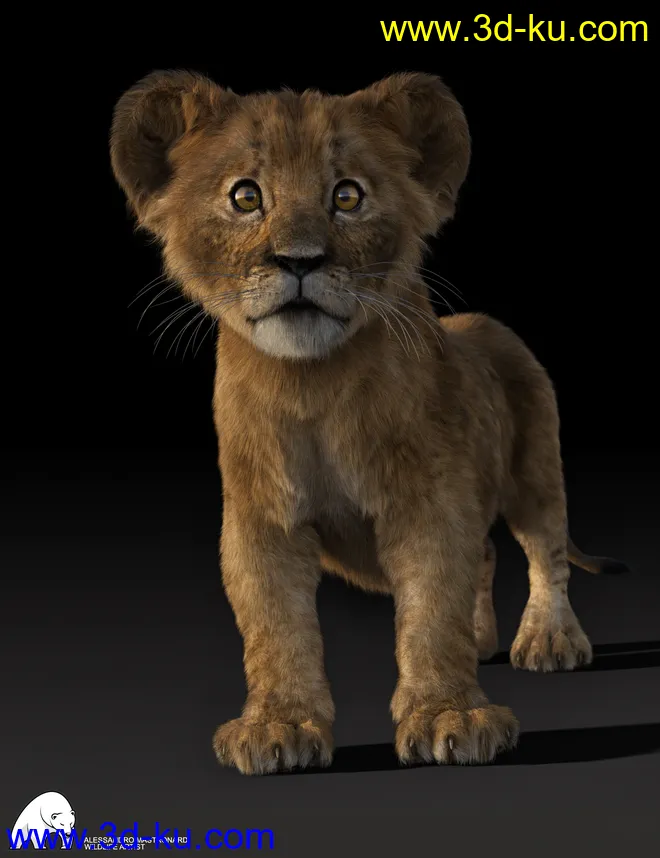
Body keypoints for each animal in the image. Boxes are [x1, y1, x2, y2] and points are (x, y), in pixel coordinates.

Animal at [110, 70, 628, 774]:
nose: (298, 260)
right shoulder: (261, 519)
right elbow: (275, 624)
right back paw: (483, 640)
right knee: (489, 551)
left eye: (347, 195)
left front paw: (449, 718)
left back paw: (549, 640)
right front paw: (277, 726)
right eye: (246, 197)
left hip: (537, 467)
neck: (313, 387)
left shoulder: (429, 502)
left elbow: (433, 604)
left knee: (543, 549)